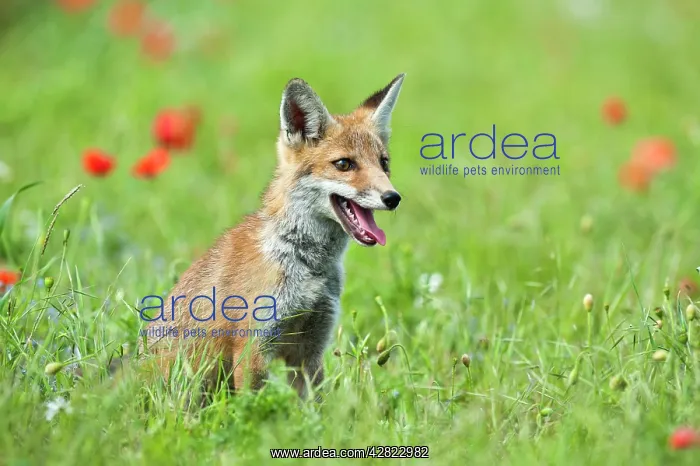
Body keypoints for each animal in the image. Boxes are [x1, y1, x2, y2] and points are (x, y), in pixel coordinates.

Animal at [142, 74, 406, 398]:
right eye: (344, 164)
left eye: (384, 163)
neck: (306, 264)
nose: (393, 198)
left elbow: (317, 406)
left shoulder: (309, 350)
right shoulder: (253, 345)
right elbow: (252, 405)